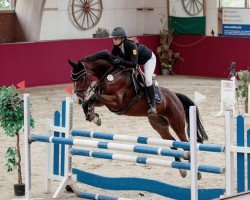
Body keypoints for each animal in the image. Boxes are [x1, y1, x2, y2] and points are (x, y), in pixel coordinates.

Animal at [68, 50, 207, 178]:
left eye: (81, 77)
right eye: (72, 79)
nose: (77, 99)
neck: (110, 74)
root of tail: (175, 96)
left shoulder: (117, 101)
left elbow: (94, 97)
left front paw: (93, 115)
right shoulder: (104, 102)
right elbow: (90, 101)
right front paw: (93, 116)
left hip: (176, 122)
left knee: (185, 143)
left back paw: (197, 173)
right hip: (159, 125)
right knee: (172, 143)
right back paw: (182, 170)